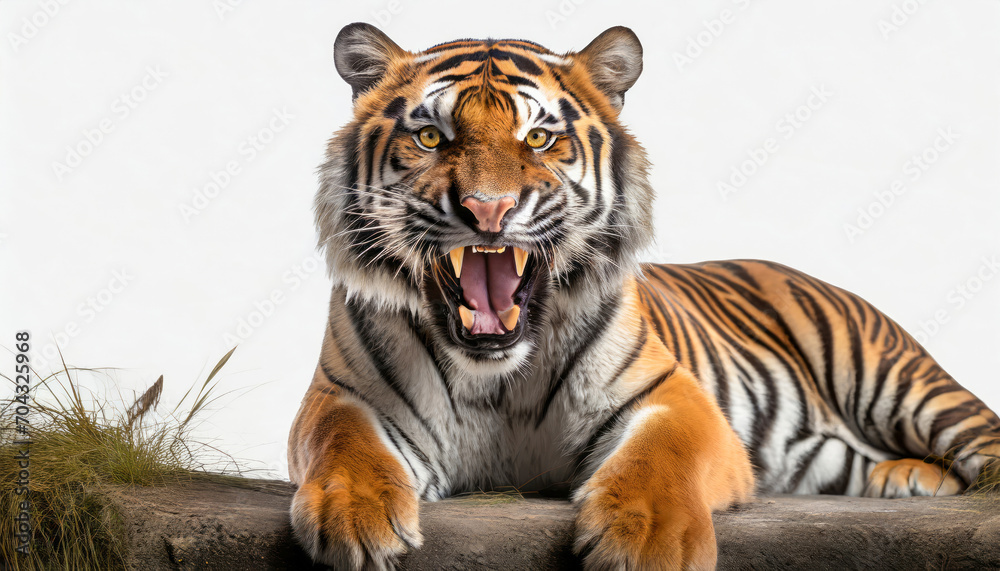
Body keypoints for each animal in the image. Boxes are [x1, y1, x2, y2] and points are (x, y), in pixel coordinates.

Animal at [287, 23, 1000, 570]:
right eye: (431, 137)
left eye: (539, 137)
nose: (488, 209)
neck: (497, 376)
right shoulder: (344, 394)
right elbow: (342, 440)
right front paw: (353, 516)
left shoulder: (672, 396)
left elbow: (661, 455)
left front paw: (647, 540)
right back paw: (899, 478)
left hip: (892, 380)